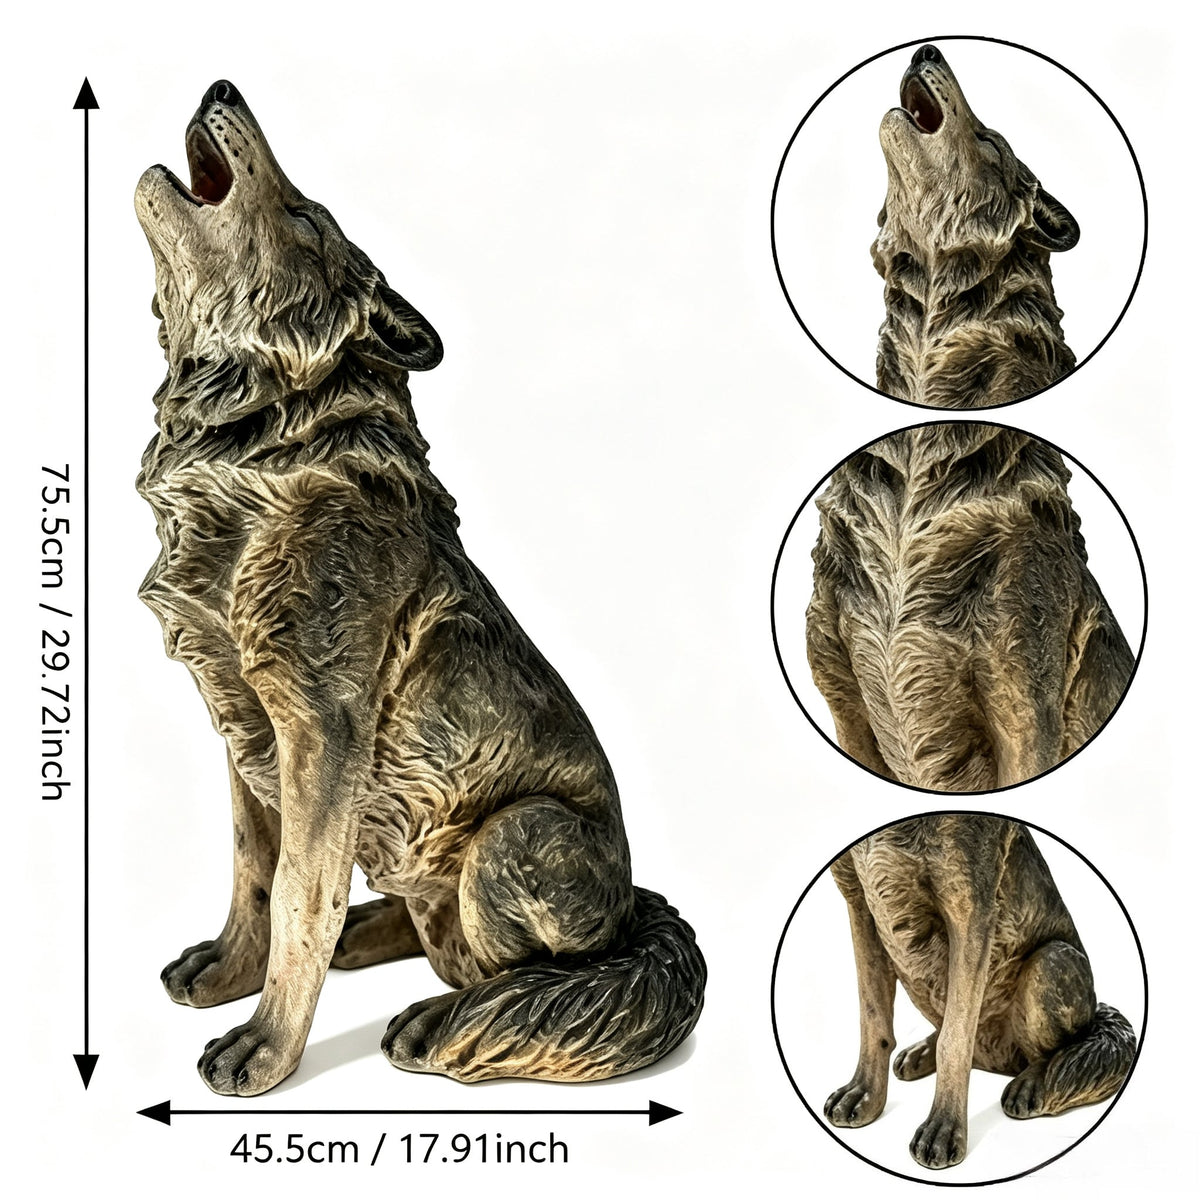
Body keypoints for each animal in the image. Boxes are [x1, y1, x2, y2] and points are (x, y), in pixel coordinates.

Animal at [134, 80, 704, 1096]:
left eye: (302, 217)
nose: (223, 88)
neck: (258, 447)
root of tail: (638, 909)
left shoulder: (321, 725)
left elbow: (300, 894)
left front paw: (266, 1047)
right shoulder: (240, 719)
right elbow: (252, 868)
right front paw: (232, 970)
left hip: (519, 836)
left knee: (527, 970)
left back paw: (442, 1016)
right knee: (426, 923)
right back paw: (377, 935)